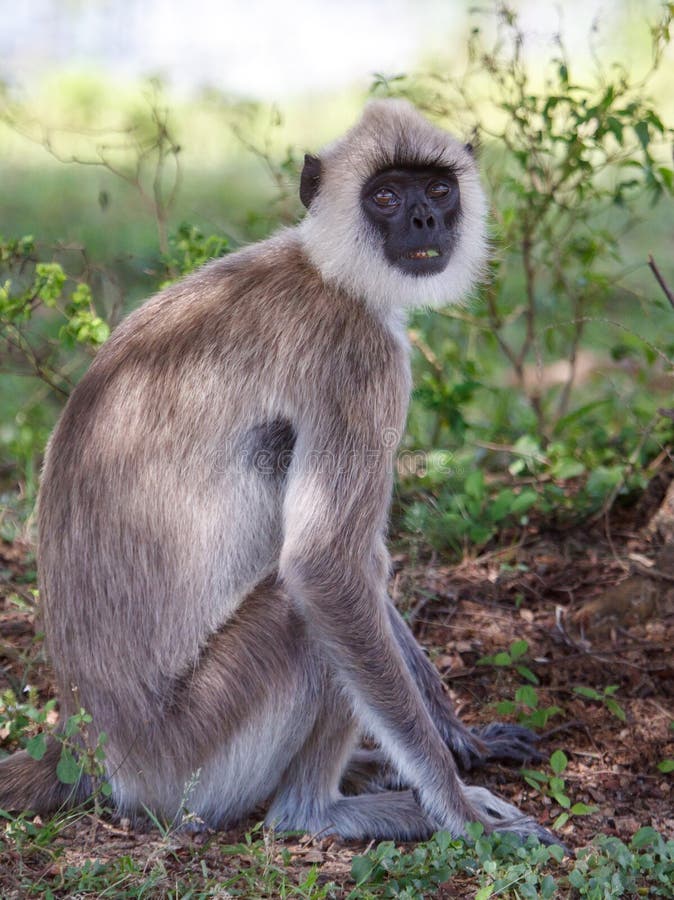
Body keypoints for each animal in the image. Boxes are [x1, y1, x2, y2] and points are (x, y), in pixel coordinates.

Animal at [0, 99, 556, 845]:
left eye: (439, 189)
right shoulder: (360, 358)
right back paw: (326, 807)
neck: (326, 272)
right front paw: (461, 813)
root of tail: (88, 749)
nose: (425, 222)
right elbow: (325, 566)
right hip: (194, 757)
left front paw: (461, 738)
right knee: (309, 605)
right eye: (386, 196)